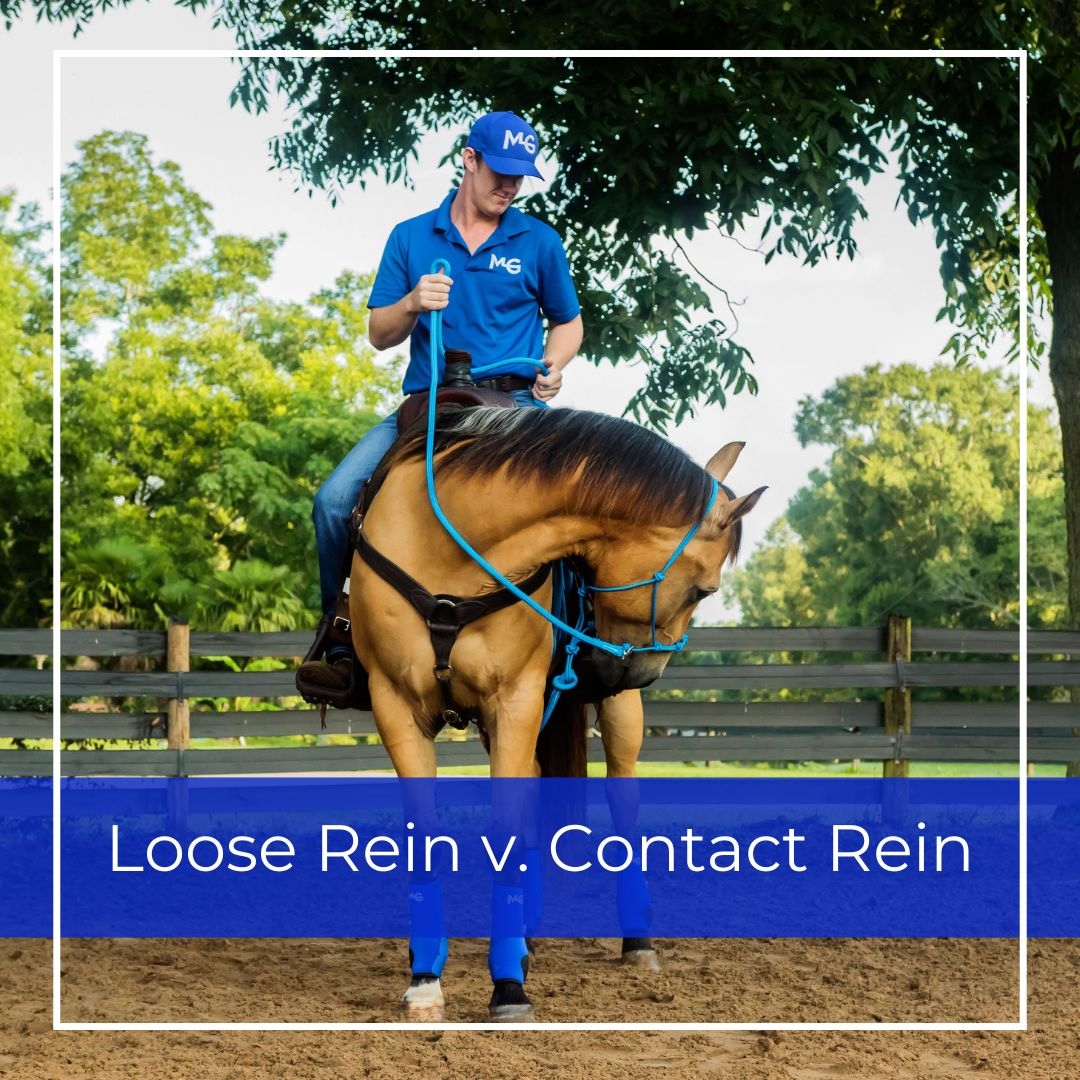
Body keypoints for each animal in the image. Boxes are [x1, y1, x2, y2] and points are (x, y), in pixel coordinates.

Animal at [349, 405, 764, 1021]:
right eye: (702, 591)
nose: (641, 672)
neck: (451, 546)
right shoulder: (395, 704)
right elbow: (425, 837)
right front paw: (425, 977)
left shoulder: (516, 700)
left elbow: (506, 830)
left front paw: (507, 986)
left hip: (613, 718)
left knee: (622, 798)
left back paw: (635, 940)